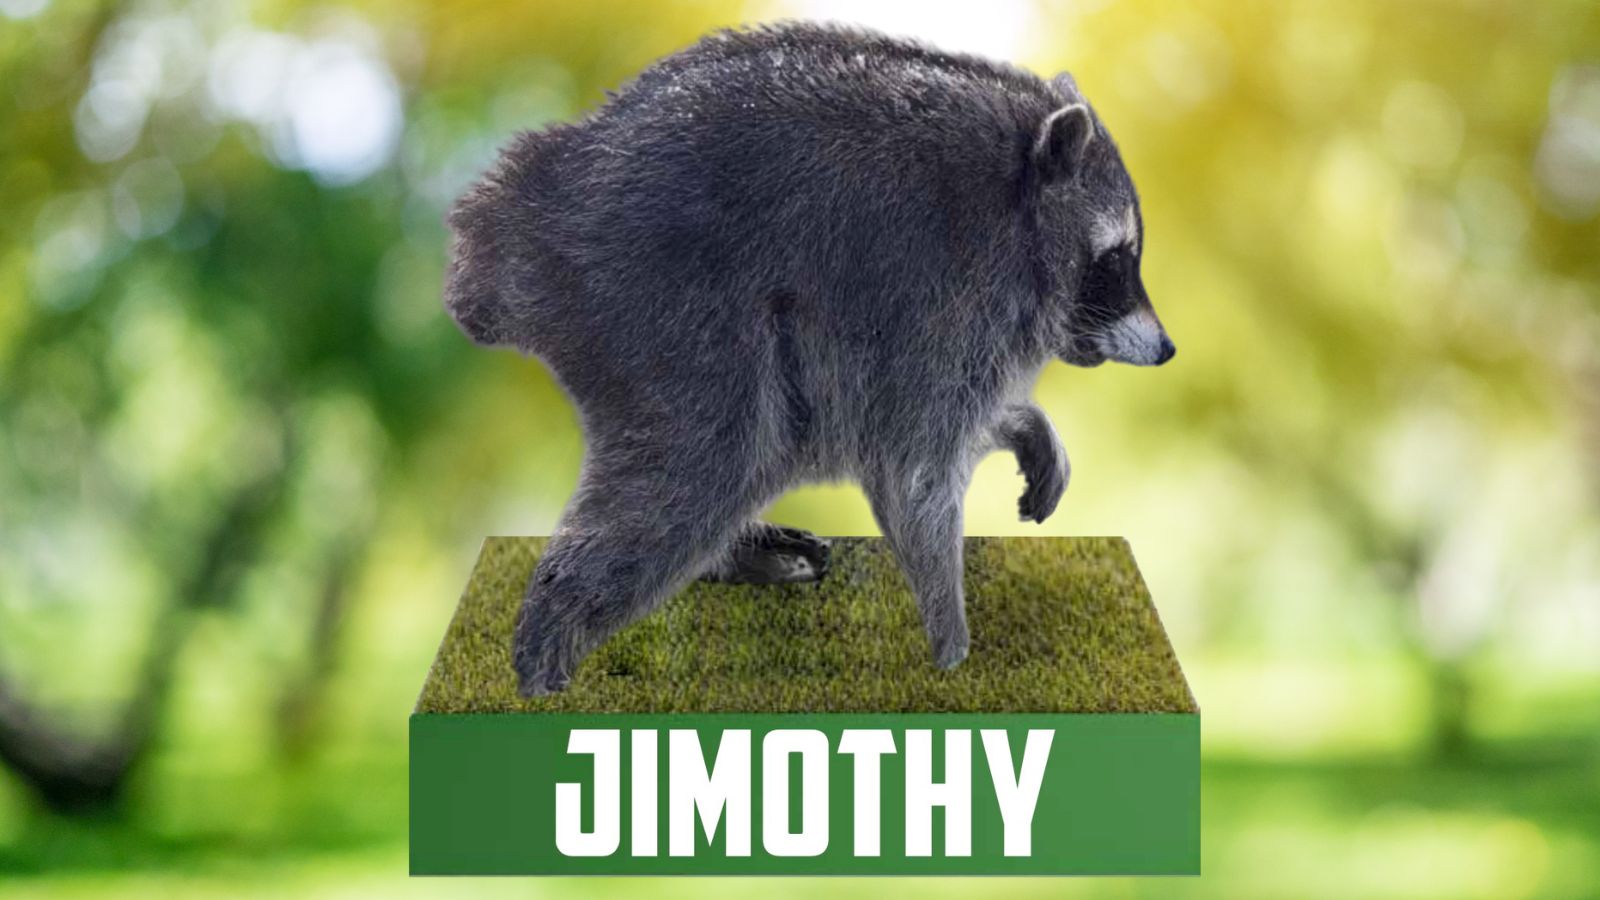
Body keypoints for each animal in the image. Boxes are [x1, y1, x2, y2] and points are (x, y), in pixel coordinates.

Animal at [444, 22, 1175, 696]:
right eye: (1117, 259)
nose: (1168, 348)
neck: (1018, 196)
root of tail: (528, 207)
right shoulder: (945, 294)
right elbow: (914, 471)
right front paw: (952, 648)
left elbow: (938, 430)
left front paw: (1026, 425)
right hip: (659, 302)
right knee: (703, 463)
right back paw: (548, 642)